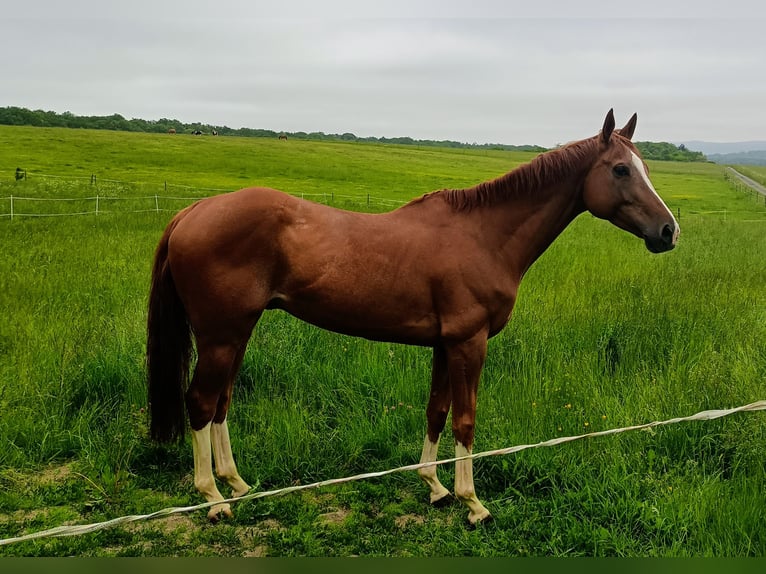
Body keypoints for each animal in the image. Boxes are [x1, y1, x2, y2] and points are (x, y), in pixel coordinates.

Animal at [146, 110, 679, 525]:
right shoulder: (469, 342)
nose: (668, 231)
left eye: (645, 166)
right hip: (221, 335)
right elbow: (465, 419)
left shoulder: (445, 344)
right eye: (620, 170)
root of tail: (193, 211)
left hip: (237, 333)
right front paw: (472, 503)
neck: (484, 235)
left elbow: (436, 411)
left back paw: (235, 483)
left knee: (221, 402)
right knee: (201, 402)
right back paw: (213, 499)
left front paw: (435, 487)